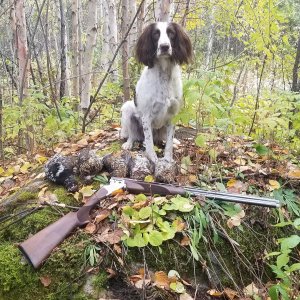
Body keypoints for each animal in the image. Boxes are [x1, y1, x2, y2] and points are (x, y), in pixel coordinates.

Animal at [120, 22, 192, 163]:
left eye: (171, 33)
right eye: (155, 34)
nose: (164, 47)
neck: (163, 75)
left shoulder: (173, 114)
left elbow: (169, 143)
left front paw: (168, 159)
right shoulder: (146, 116)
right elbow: (149, 142)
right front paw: (152, 158)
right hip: (127, 108)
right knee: (133, 135)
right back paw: (129, 143)